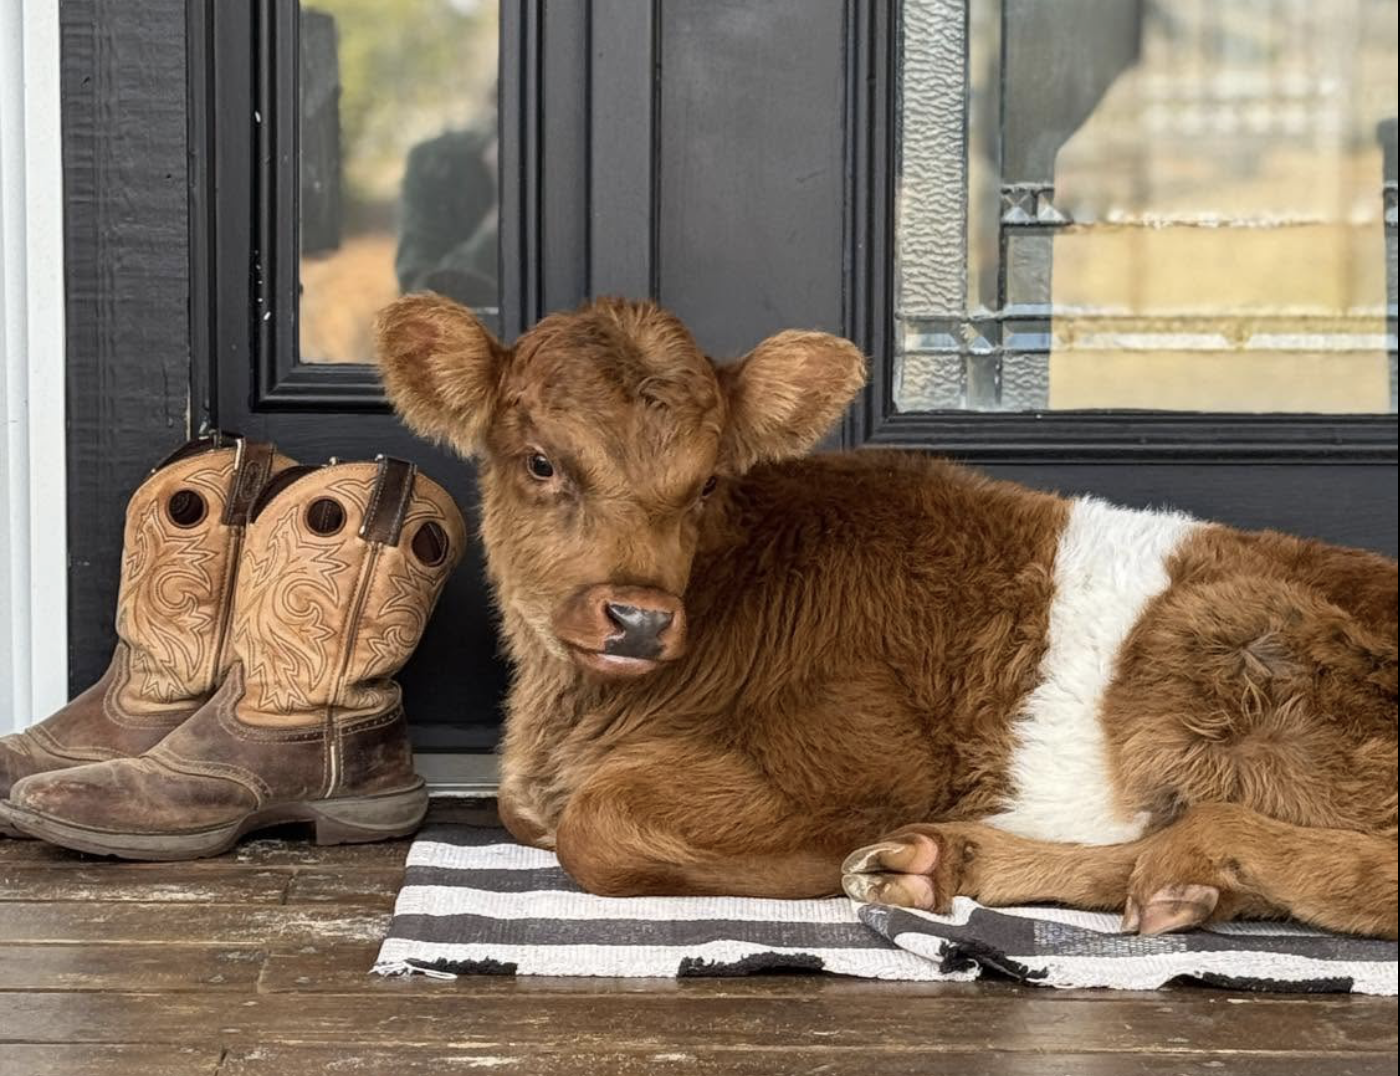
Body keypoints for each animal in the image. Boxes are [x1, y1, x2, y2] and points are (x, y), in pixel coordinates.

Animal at [376, 293, 1399, 939]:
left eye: (707, 483)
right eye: (540, 461)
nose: (637, 620)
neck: (568, 720)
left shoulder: (872, 753)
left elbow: (594, 828)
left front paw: (806, 859)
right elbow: (529, 815)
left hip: (1217, 641)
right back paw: (954, 863)